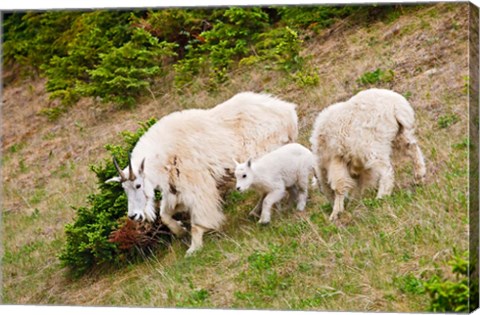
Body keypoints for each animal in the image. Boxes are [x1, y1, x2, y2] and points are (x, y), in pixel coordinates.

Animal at [107, 92, 298, 256]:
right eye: (124, 189)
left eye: (138, 185)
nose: (133, 216)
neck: (163, 156)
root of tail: (288, 113)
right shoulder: (175, 190)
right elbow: (165, 215)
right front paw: (180, 231)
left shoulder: (196, 185)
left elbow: (198, 220)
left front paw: (194, 248)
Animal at [312, 88, 428, 222]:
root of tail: (396, 106)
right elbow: (363, 181)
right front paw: (358, 198)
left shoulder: (336, 159)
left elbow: (340, 185)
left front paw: (336, 213)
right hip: (398, 135)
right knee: (412, 147)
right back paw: (419, 176)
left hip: (372, 144)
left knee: (386, 170)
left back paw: (382, 196)